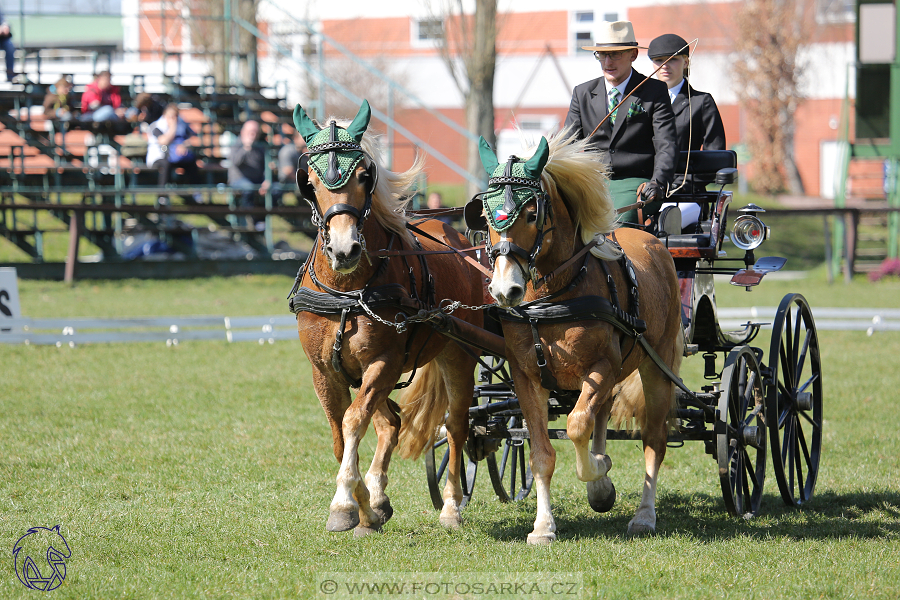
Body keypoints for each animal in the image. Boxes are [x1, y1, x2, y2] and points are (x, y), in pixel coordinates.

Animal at [288, 101, 486, 536]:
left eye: (365, 175)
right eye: (309, 180)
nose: (344, 249)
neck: (347, 291)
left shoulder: (384, 362)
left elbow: (352, 422)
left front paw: (345, 502)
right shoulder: (324, 370)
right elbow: (339, 434)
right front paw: (366, 507)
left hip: (457, 355)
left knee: (456, 425)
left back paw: (451, 507)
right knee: (390, 422)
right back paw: (377, 498)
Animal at [468, 131, 684, 544]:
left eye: (532, 213)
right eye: (484, 215)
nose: (505, 290)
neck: (553, 297)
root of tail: (653, 241)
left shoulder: (601, 365)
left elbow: (577, 425)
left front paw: (599, 472)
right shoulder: (526, 376)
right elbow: (542, 453)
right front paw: (543, 526)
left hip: (656, 366)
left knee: (654, 439)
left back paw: (644, 514)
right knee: (604, 412)